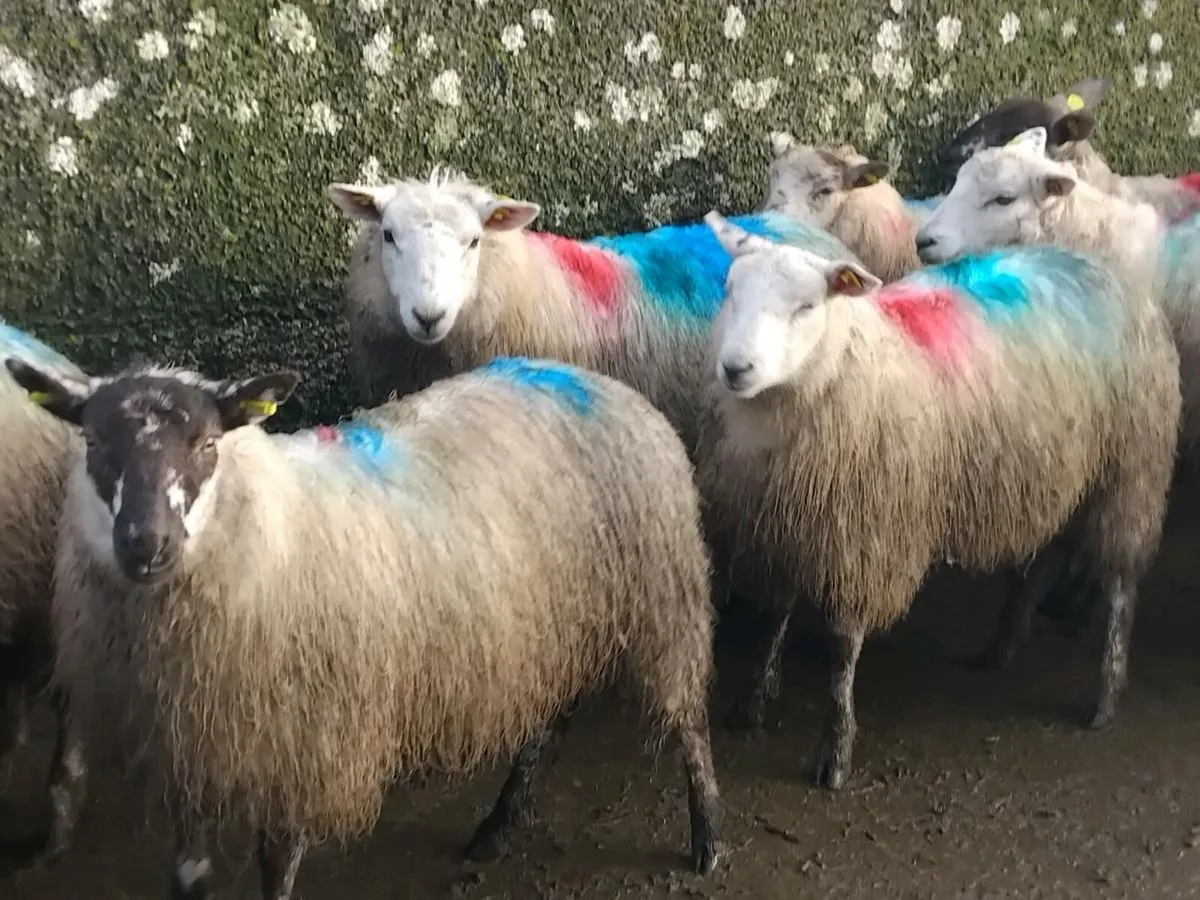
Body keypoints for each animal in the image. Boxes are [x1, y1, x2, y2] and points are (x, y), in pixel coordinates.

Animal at [5, 352, 724, 898]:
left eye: (207, 443)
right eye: (93, 441)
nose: (145, 544)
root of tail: (597, 380)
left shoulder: (304, 742)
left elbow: (276, 867)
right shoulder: (188, 747)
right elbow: (189, 875)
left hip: (662, 598)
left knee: (688, 722)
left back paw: (707, 838)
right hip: (552, 622)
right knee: (548, 720)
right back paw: (497, 826)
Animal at [695, 211, 1179, 791]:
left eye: (806, 307)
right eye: (730, 291)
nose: (735, 369)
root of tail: (1103, 268)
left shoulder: (865, 536)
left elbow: (841, 648)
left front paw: (835, 750)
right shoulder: (787, 523)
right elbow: (775, 617)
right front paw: (753, 702)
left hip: (1132, 472)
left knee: (1122, 587)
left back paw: (1106, 693)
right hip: (1056, 473)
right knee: (1045, 558)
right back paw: (1002, 644)